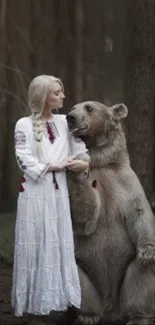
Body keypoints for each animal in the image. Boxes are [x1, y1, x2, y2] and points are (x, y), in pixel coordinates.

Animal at [66, 101, 155, 324]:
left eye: (89, 107)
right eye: (73, 107)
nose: (70, 117)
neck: (100, 162)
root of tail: (111, 308)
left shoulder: (124, 180)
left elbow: (139, 211)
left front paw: (148, 252)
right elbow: (85, 219)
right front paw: (77, 168)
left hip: (126, 273)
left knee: (138, 276)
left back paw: (138, 316)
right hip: (85, 270)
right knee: (79, 282)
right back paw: (87, 316)